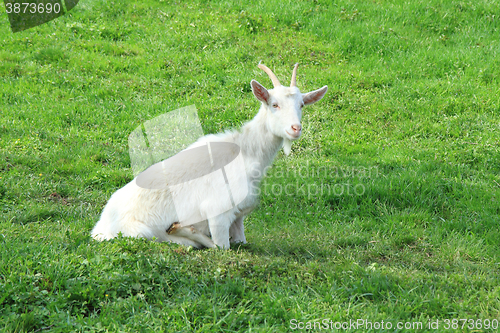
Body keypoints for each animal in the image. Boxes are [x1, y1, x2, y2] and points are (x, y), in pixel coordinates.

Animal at [92, 63, 328, 248]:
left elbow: (240, 240)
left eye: (302, 105)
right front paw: (185, 230)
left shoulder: (238, 215)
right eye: (274, 104)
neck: (246, 152)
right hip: (141, 232)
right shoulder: (218, 213)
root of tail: (100, 228)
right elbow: (221, 247)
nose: (295, 128)